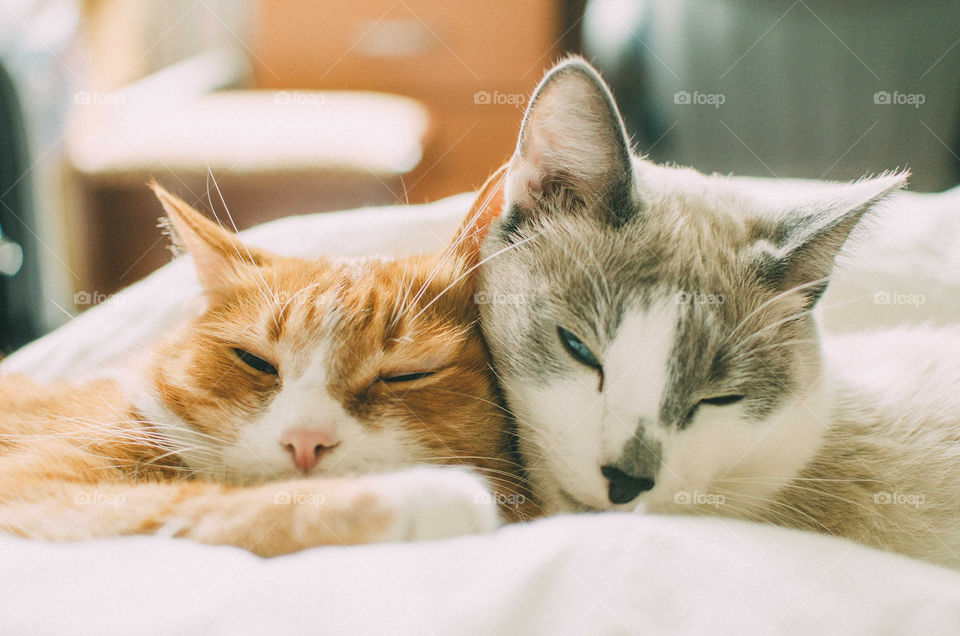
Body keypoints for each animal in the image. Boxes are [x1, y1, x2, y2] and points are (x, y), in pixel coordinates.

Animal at [0, 170, 532, 556]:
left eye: (407, 374)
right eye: (255, 361)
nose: (305, 441)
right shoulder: (37, 486)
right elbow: (200, 502)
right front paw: (423, 497)